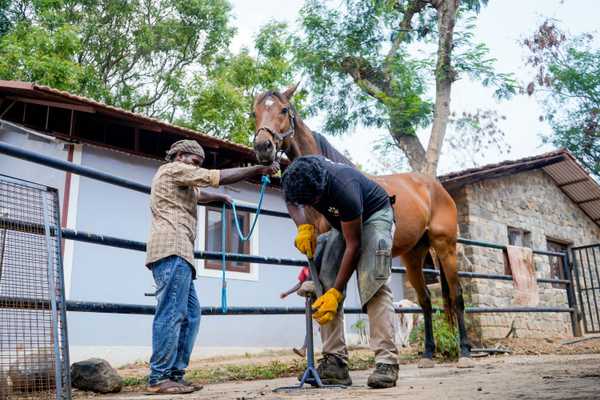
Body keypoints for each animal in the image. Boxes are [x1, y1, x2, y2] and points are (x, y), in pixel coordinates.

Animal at [251, 83, 472, 366]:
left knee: (456, 295)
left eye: (283, 109)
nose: (263, 146)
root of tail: (437, 188)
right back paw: (428, 352)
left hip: (445, 247)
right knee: (424, 300)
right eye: (254, 113)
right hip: (414, 256)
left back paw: (464, 349)